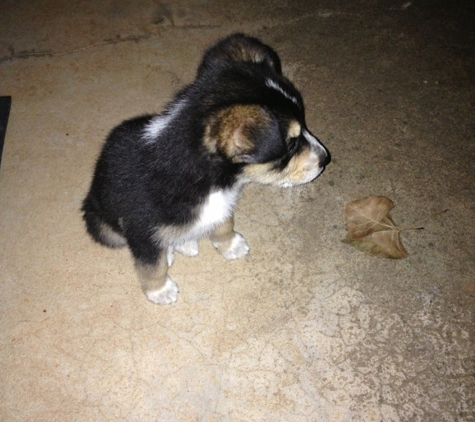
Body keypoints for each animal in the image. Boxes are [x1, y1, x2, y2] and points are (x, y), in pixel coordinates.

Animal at [82, 33, 330, 304]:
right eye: (291, 143)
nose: (325, 159)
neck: (209, 181)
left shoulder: (223, 205)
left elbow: (224, 225)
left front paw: (231, 245)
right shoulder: (141, 230)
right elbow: (152, 266)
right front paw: (160, 291)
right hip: (103, 226)